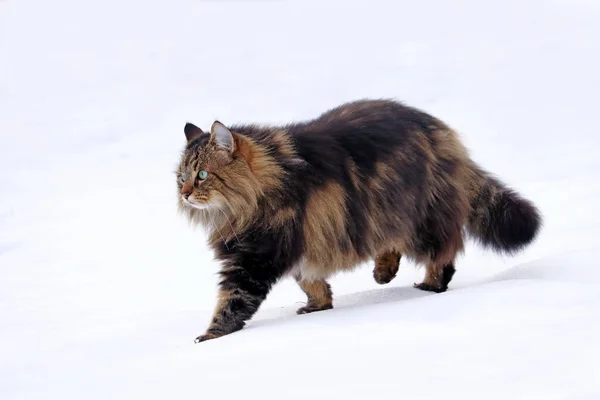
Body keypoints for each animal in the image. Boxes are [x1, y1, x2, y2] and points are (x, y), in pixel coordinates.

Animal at [176, 98, 540, 342]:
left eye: (203, 175)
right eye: (180, 177)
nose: (184, 193)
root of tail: (441, 132)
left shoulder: (256, 256)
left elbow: (232, 302)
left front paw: (209, 336)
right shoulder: (297, 245)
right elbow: (309, 280)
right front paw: (319, 305)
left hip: (419, 219)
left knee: (443, 255)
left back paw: (430, 284)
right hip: (383, 216)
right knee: (393, 245)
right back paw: (383, 272)